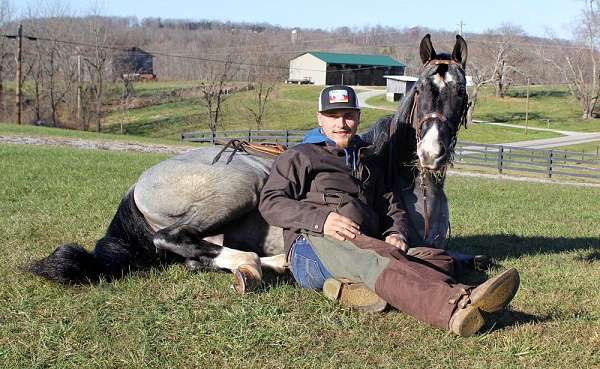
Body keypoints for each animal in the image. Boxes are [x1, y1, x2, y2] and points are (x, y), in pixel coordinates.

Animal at [30, 34, 472, 292]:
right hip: (243, 187)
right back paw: (255, 264)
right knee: (174, 238)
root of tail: (139, 184)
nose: (431, 153)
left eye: (462, 92)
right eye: (422, 89)